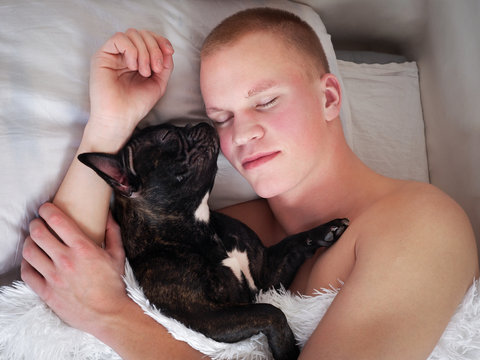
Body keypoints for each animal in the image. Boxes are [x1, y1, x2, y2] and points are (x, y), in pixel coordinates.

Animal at [79, 122, 348, 358]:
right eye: (166, 136)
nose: (198, 123)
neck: (201, 228)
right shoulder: (207, 316)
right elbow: (271, 312)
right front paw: (288, 351)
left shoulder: (266, 278)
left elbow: (292, 243)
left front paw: (325, 229)